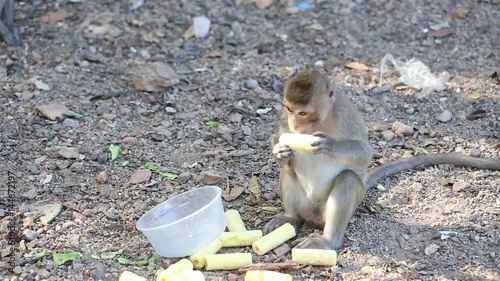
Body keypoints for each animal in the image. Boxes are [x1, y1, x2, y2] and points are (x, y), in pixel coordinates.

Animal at [264, 66, 498, 249]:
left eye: (303, 113)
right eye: (289, 109)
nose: (295, 125)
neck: (319, 121)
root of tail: (313, 214)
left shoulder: (344, 114)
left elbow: (365, 153)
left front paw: (328, 144)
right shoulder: (284, 118)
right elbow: (278, 137)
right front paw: (280, 151)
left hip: (346, 202)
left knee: (348, 179)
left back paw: (328, 242)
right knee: (289, 171)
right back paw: (290, 218)